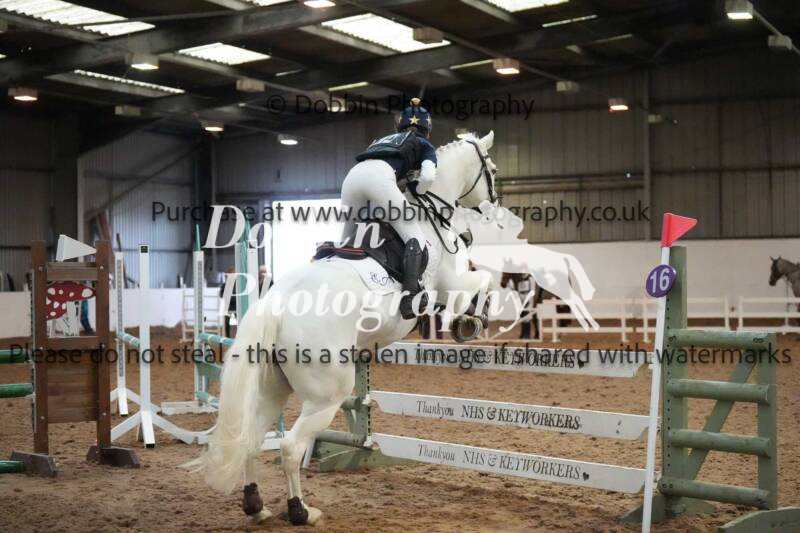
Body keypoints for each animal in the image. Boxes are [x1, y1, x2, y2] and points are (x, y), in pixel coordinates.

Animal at [191, 132, 499, 526]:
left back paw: (256, 506)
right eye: (491, 170)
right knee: (290, 447)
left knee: (250, 439)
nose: (493, 203)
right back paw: (300, 510)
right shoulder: (451, 284)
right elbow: (485, 281)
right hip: (327, 394)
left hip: (274, 387)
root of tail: (277, 306)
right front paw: (469, 322)